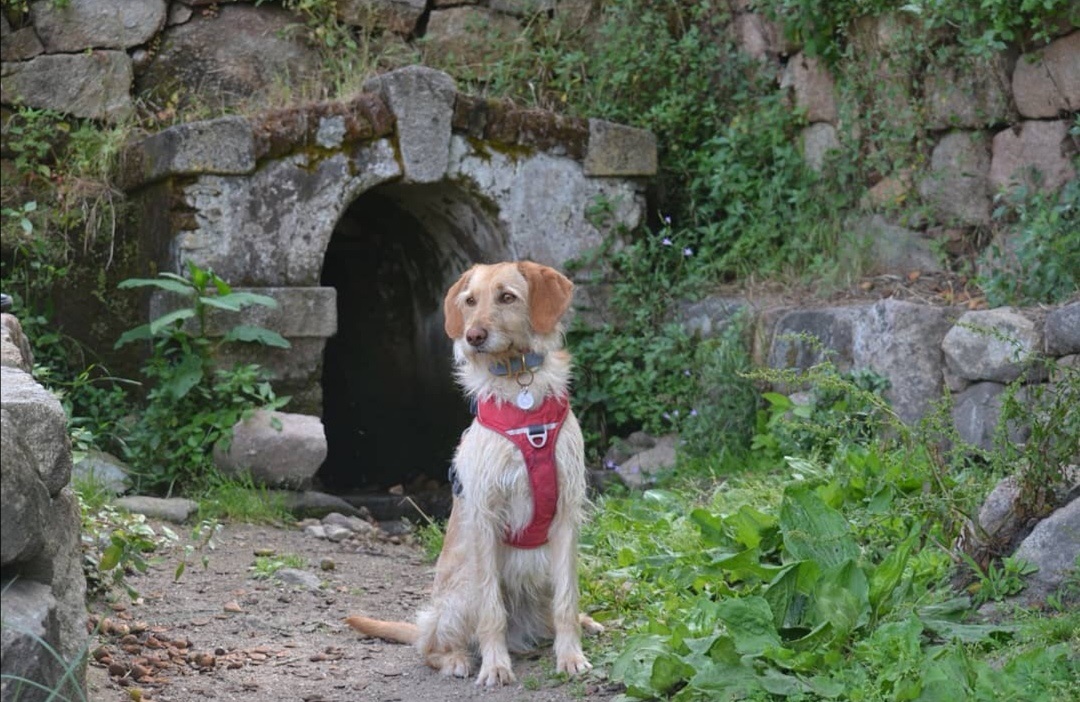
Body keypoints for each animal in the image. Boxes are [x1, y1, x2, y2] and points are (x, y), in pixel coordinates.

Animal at [345, 261, 600, 682]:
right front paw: (496, 666)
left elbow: (567, 600)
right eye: (469, 301)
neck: (520, 389)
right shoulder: (484, 516)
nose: (473, 336)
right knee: (429, 644)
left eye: (507, 297)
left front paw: (571, 656)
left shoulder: (566, 515)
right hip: (459, 594)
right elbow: (490, 610)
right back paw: (457, 658)